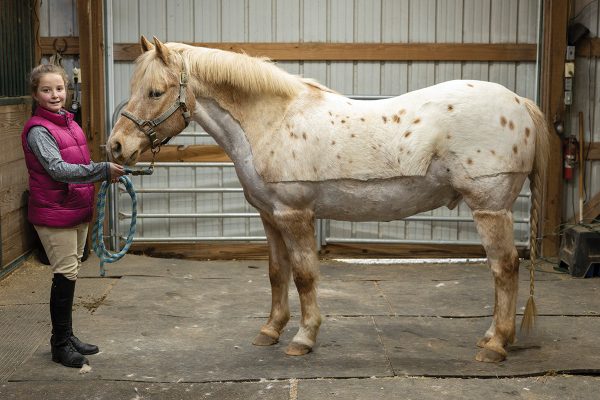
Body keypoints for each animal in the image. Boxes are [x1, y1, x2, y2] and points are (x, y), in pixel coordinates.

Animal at [108, 36, 548, 362]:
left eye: (155, 91)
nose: (116, 147)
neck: (273, 120)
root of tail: (520, 104)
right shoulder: (270, 216)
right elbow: (277, 273)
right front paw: (270, 330)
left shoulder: (295, 214)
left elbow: (304, 276)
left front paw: (303, 338)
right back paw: (491, 337)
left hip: (490, 209)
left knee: (504, 268)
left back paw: (495, 345)